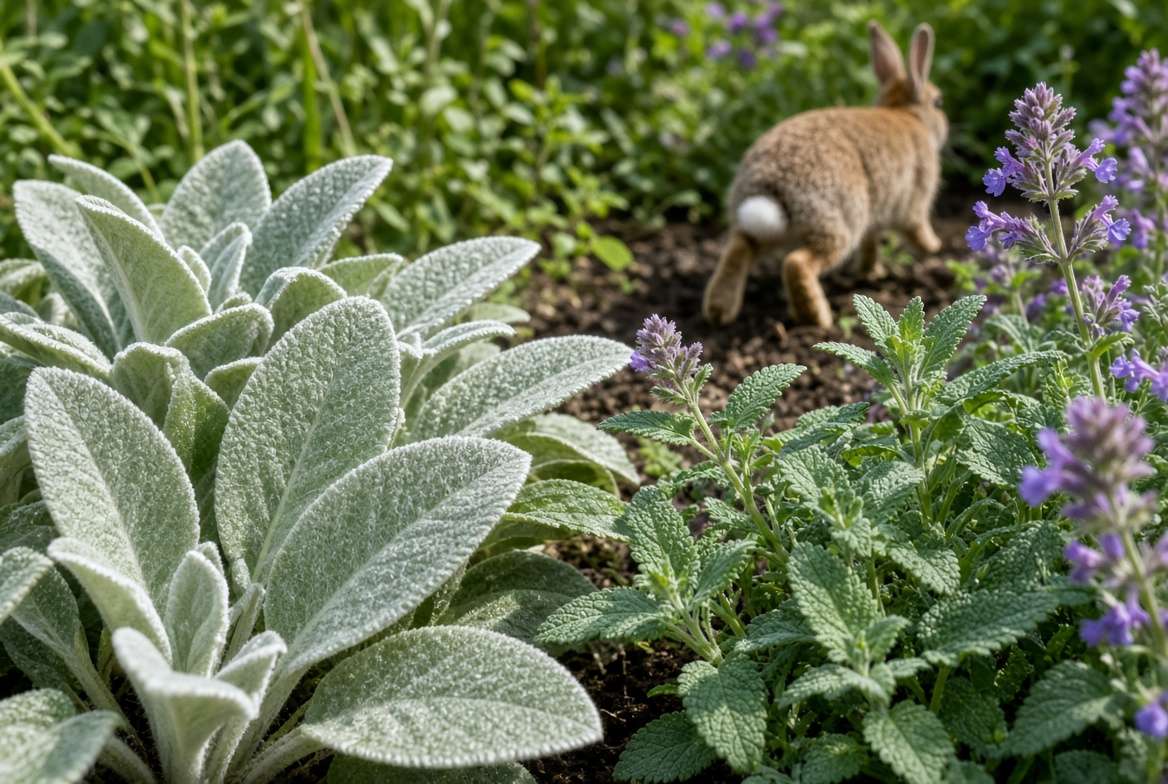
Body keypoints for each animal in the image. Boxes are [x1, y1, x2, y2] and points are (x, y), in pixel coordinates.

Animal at [702, 21, 947, 328]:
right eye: (938, 103)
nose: (945, 123)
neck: (908, 114)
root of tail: (772, 187)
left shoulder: (873, 220)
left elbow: (871, 243)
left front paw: (872, 271)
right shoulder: (915, 204)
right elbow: (917, 229)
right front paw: (935, 247)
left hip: (756, 224)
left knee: (738, 248)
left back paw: (720, 310)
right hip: (838, 223)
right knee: (797, 263)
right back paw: (818, 317)